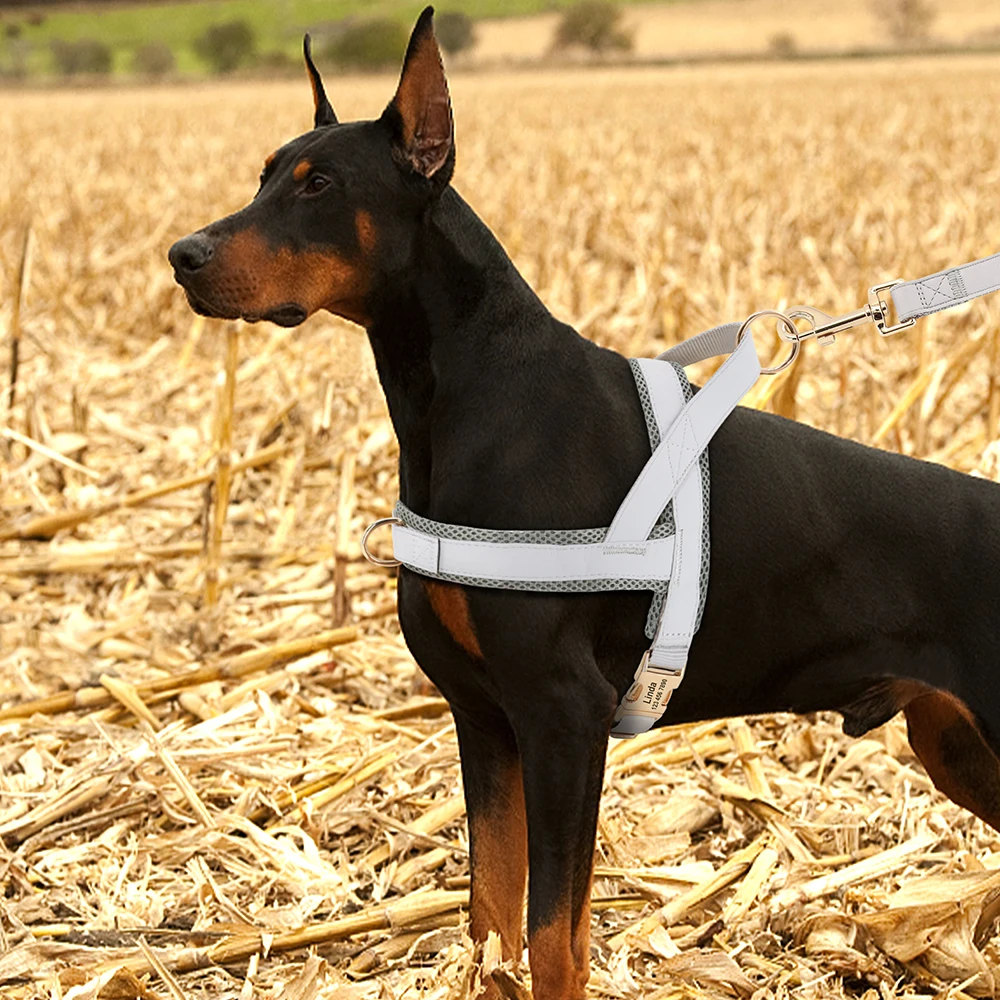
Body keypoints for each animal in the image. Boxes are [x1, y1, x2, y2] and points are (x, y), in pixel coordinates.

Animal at [170, 9, 1000, 1000]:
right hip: (958, 745)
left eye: (320, 184)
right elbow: (491, 919)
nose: (181, 257)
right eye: (264, 174)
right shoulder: (485, 720)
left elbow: (553, 939)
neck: (468, 395)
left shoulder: (565, 715)